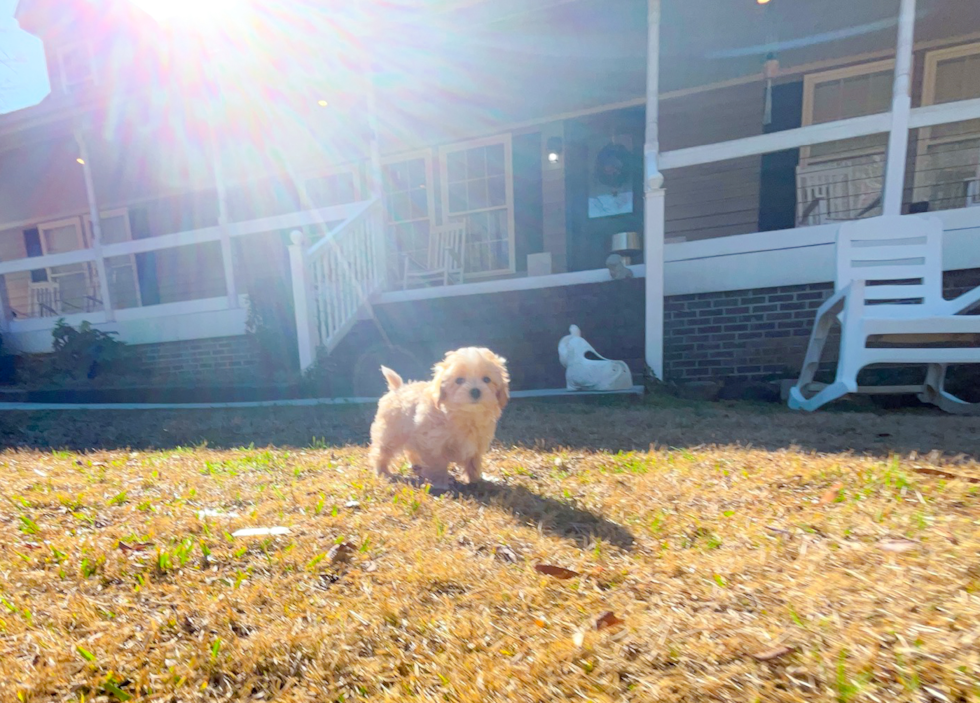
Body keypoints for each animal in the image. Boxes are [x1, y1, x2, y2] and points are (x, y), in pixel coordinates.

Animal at [366, 346, 510, 490]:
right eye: (459, 380)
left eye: (486, 379)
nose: (475, 391)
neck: (465, 415)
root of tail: (398, 388)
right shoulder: (433, 443)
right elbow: (437, 464)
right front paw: (440, 483)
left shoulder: (477, 443)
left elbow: (473, 461)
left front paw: (475, 479)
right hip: (391, 433)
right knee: (382, 452)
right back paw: (382, 471)